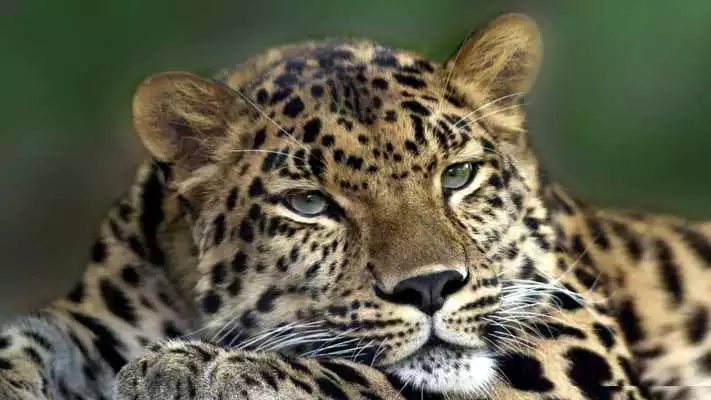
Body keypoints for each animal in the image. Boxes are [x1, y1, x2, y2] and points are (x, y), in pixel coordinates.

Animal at [1, 13, 710, 400]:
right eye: (310, 203)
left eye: (457, 176)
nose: (431, 287)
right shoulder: (96, 318)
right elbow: (27, 338)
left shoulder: (573, 345)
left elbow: (369, 377)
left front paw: (196, 370)